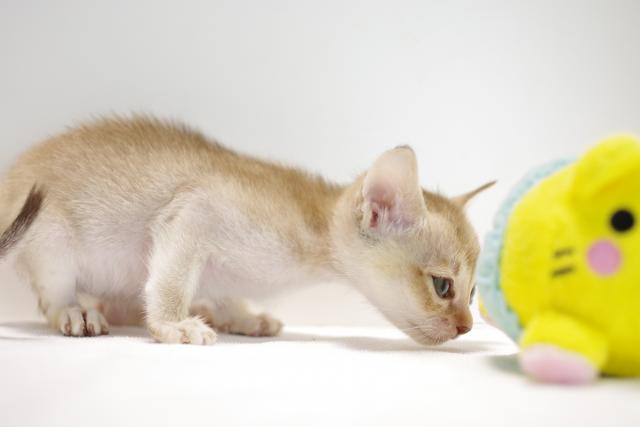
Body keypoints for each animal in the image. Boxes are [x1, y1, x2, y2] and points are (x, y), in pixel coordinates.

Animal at [0, 116, 492, 345]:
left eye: (472, 294)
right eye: (443, 286)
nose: (468, 326)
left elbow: (223, 291)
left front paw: (242, 316)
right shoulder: (192, 211)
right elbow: (171, 281)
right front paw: (173, 324)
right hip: (50, 236)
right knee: (51, 297)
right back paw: (76, 312)